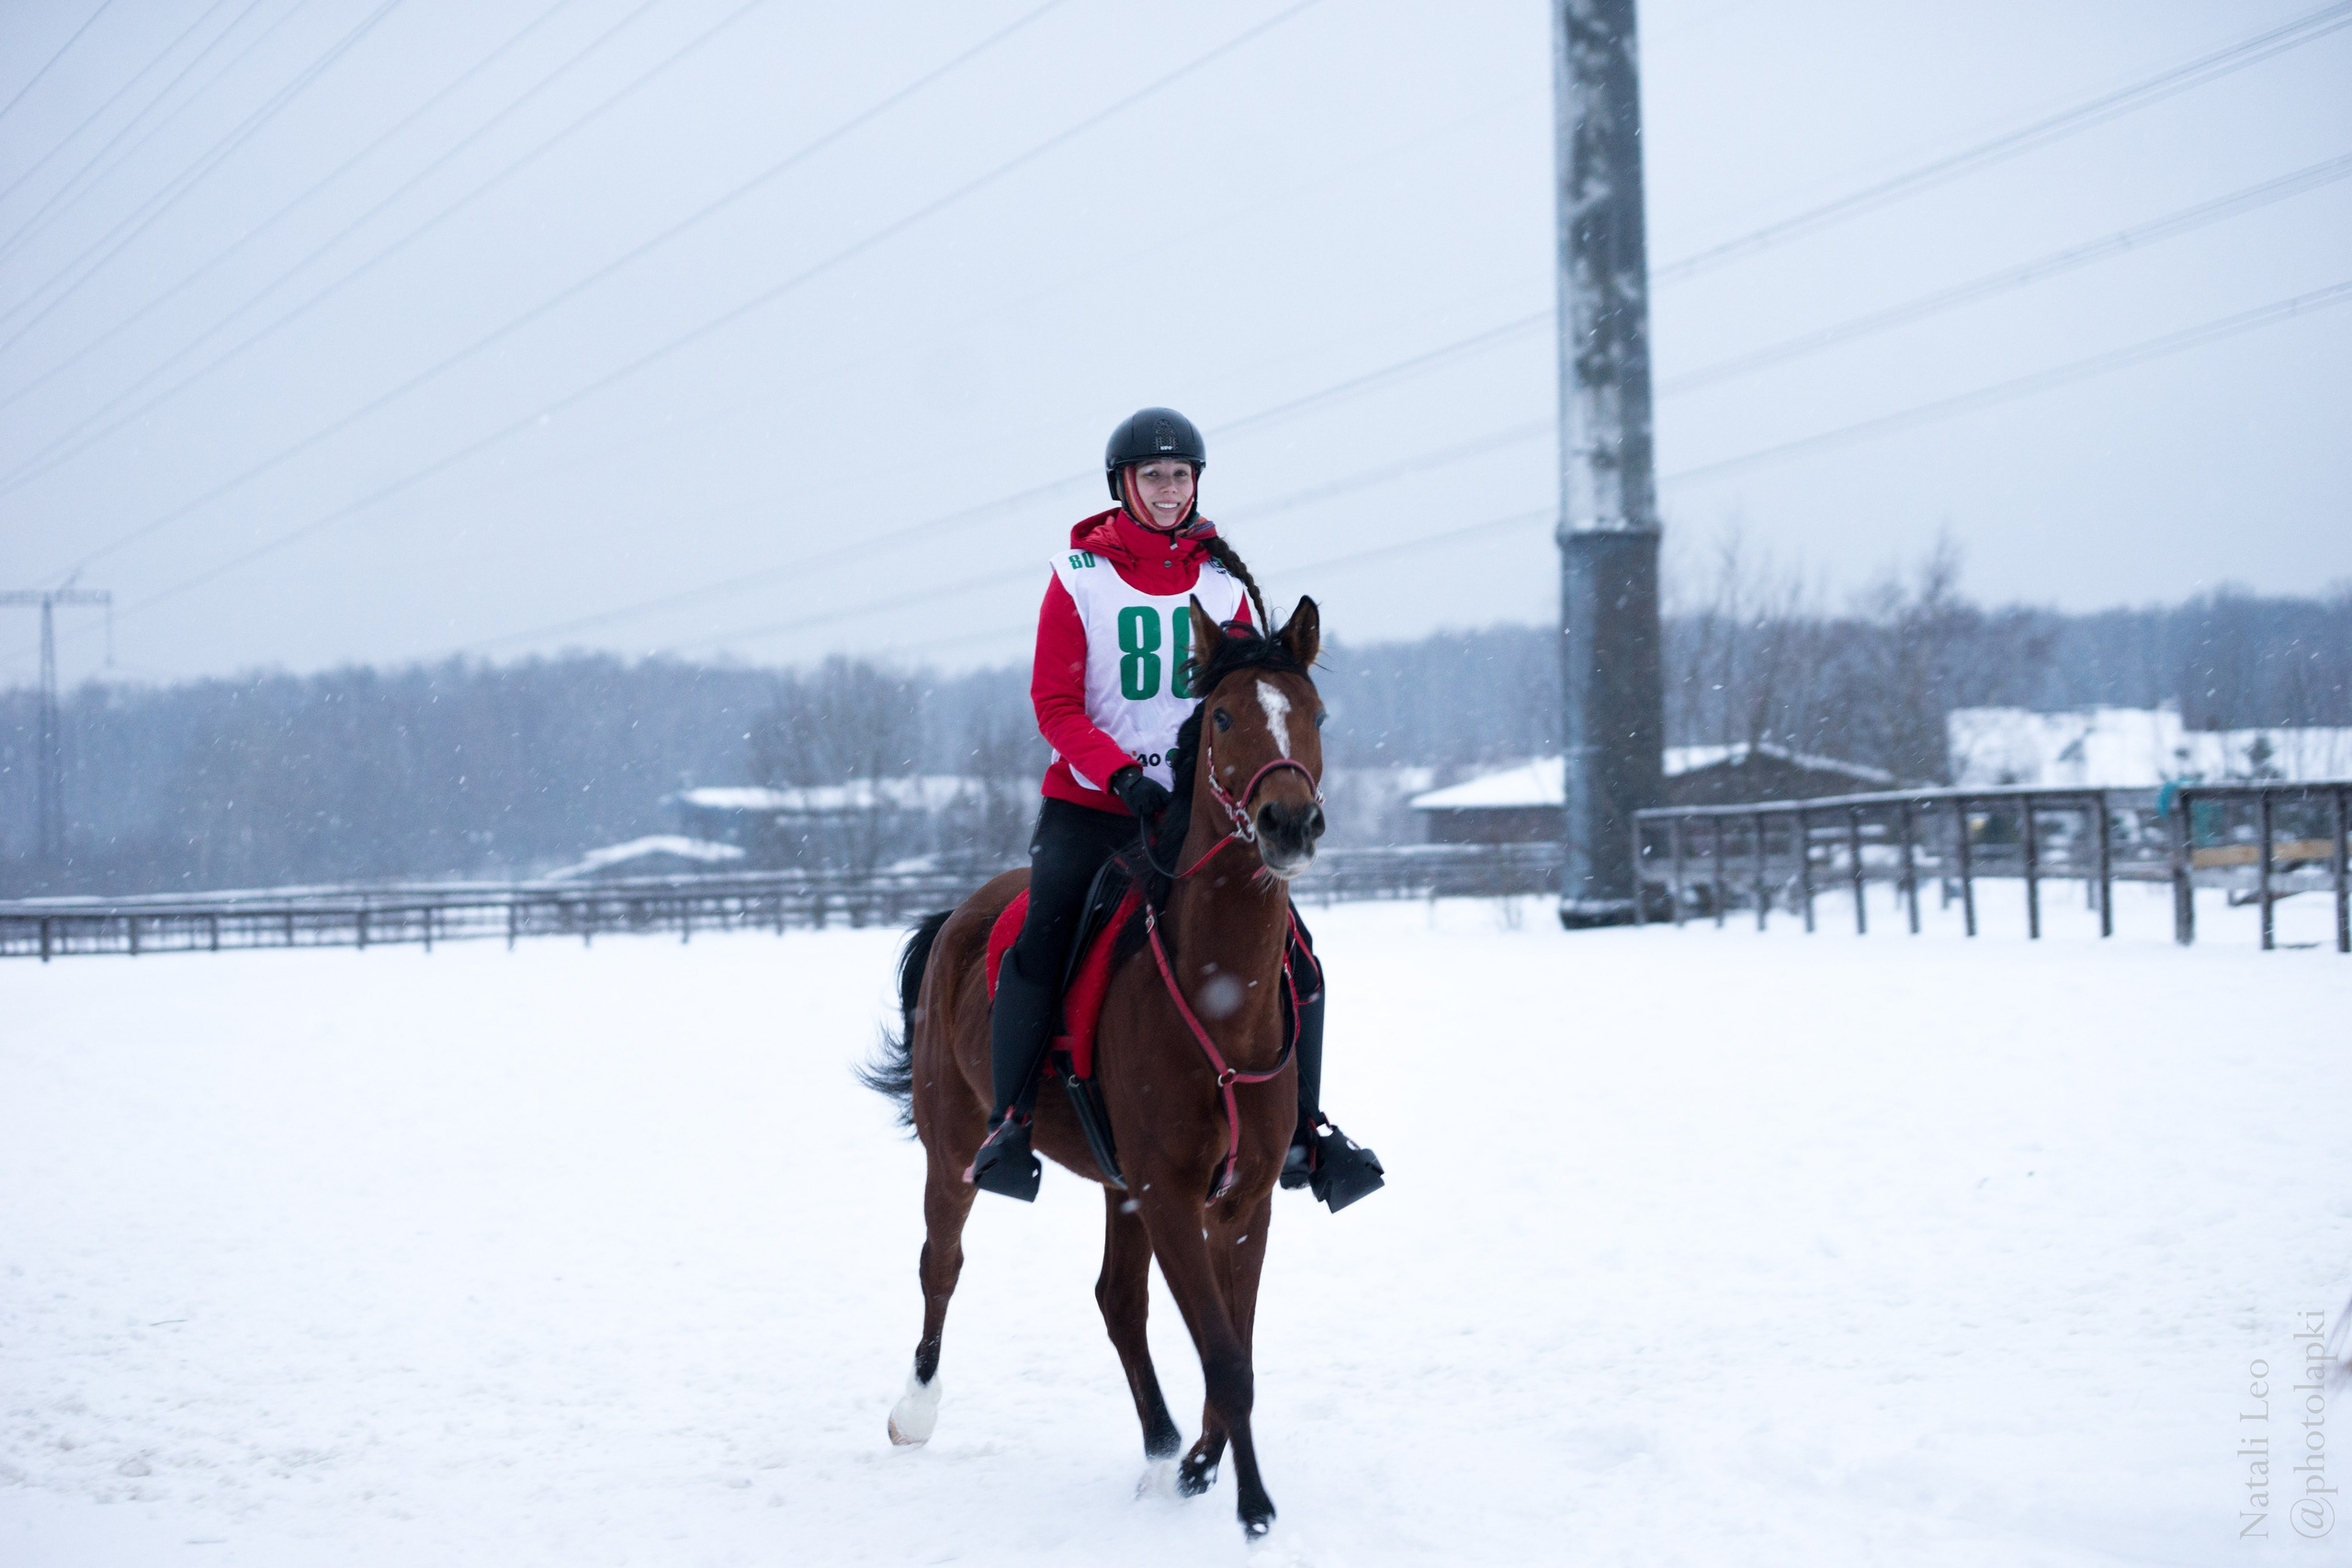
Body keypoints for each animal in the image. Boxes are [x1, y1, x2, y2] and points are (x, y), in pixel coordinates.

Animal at [861, 593, 1329, 1541]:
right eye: (1224, 717)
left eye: (1314, 713)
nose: (1289, 823)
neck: (1220, 1002)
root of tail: (957, 914)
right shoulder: (1172, 1193)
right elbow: (1226, 1359)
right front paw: (1254, 1507)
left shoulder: (1241, 1199)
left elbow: (1232, 1346)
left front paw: (1198, 1466)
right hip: (954, 1146)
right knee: (940, 1262)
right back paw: (915, 1410)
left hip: (1120, 1186)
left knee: (1118, 1299)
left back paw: (1162, 1447)